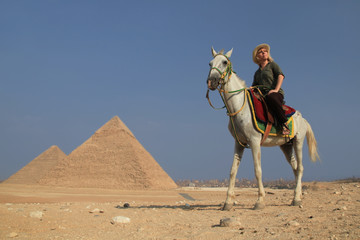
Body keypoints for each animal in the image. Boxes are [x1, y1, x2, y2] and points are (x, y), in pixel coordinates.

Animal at [207, 47, 320, 211]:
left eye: (224, 62)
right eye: (210, 63)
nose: (211, 81)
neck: (239, 107)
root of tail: (302, 117)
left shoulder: (254, 141)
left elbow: (258, 170)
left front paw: (259, 201)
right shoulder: (239, 143)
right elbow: (233, 171)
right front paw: (227, 202)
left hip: (298, 141)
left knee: (300, 168)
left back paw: (297, 199)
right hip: (286, 146)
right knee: (295, 167)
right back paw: (296, 197)